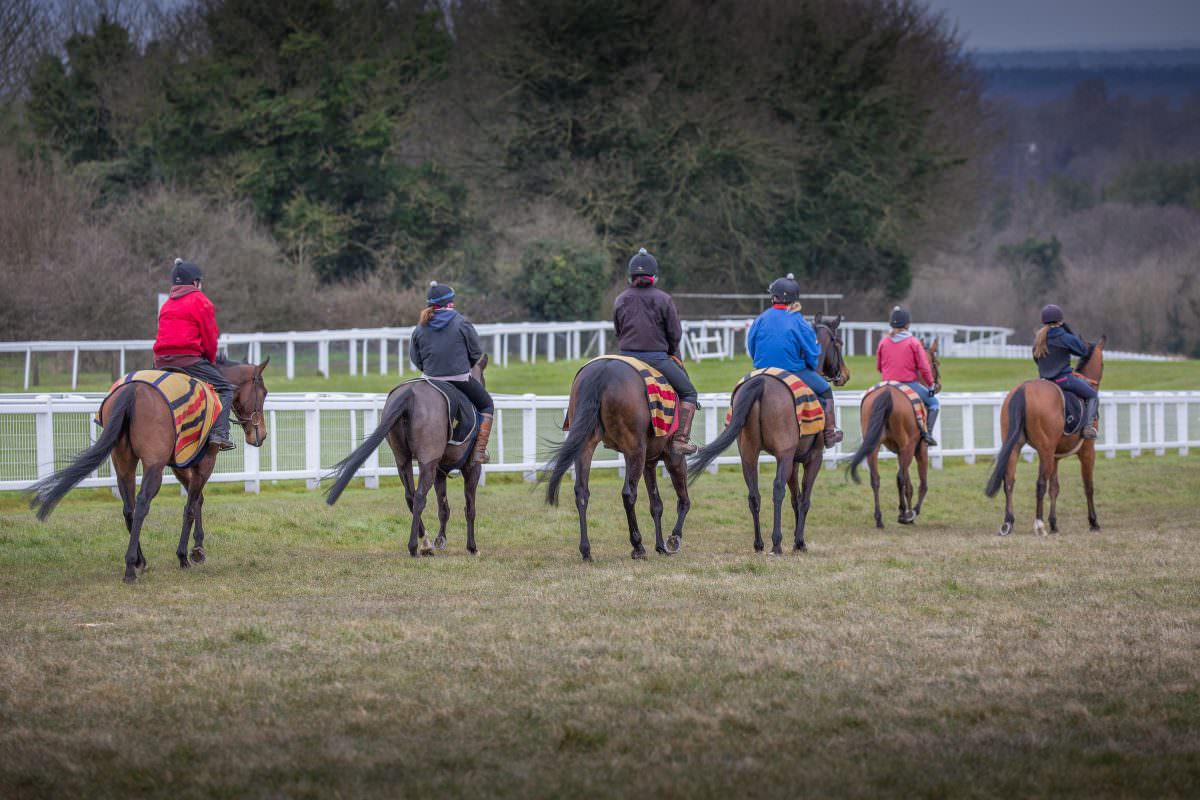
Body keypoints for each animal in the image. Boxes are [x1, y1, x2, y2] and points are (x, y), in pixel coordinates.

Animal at [28, 357, 272, 582]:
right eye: (264, 392)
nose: (260, 435)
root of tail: (132, 391)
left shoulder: (181, 464)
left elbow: (197, 501)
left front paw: (198, 547)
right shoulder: (204, 462)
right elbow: (190, 506)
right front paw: (186, 555)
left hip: (123, 463)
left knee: (129, 508)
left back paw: (139, 560)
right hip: (153, 466)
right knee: (143, 503)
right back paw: (130, 568)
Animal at [326, 352, 489, 554]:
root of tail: (409, 394)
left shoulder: (439, 472)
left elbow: (443, 508)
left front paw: (440, 540)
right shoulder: (472, 468)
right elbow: (470, 508)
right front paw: (472, 547)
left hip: (403, 461)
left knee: (410, 496)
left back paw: (425, 542)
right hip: (427, 462)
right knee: (419, 497)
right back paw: (415, 546)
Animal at [686, 316, 854, 554]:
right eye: (838, 343)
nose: (844, 374)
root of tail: (762, 383)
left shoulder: (793, 460)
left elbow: (795, 498)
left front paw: (797, 540)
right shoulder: (812, 458)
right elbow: (804, 499)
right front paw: (799, 541)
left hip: (748, 454)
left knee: (754, 494)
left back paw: (759, 544)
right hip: (783, 454)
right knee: (777, 490)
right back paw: (776, 543)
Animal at [844, 340, 936, 527]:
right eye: (936, 363)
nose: (937, 385)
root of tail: (887, 392)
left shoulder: (900, 452)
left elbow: (908, 484)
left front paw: (904, 511)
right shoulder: (919, 449)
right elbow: (921, 483)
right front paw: (912, 512)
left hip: (874, 446)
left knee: (876, 479)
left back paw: (879, 518)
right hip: (909, 447)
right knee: (900, 477)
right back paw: (907, 515)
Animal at [984, 335, 1104, 534]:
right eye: (1102, 363)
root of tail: (1023, 389)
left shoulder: (1055, 457)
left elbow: (1054, 488)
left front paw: (1054, 523)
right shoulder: (1087, 451)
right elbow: (1088, 486)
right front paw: (1093, 521)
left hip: (1015, 447)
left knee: (1009, 482)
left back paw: (1008, 522)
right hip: (1044, 450)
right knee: (1039, 483)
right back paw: (1039, 524)